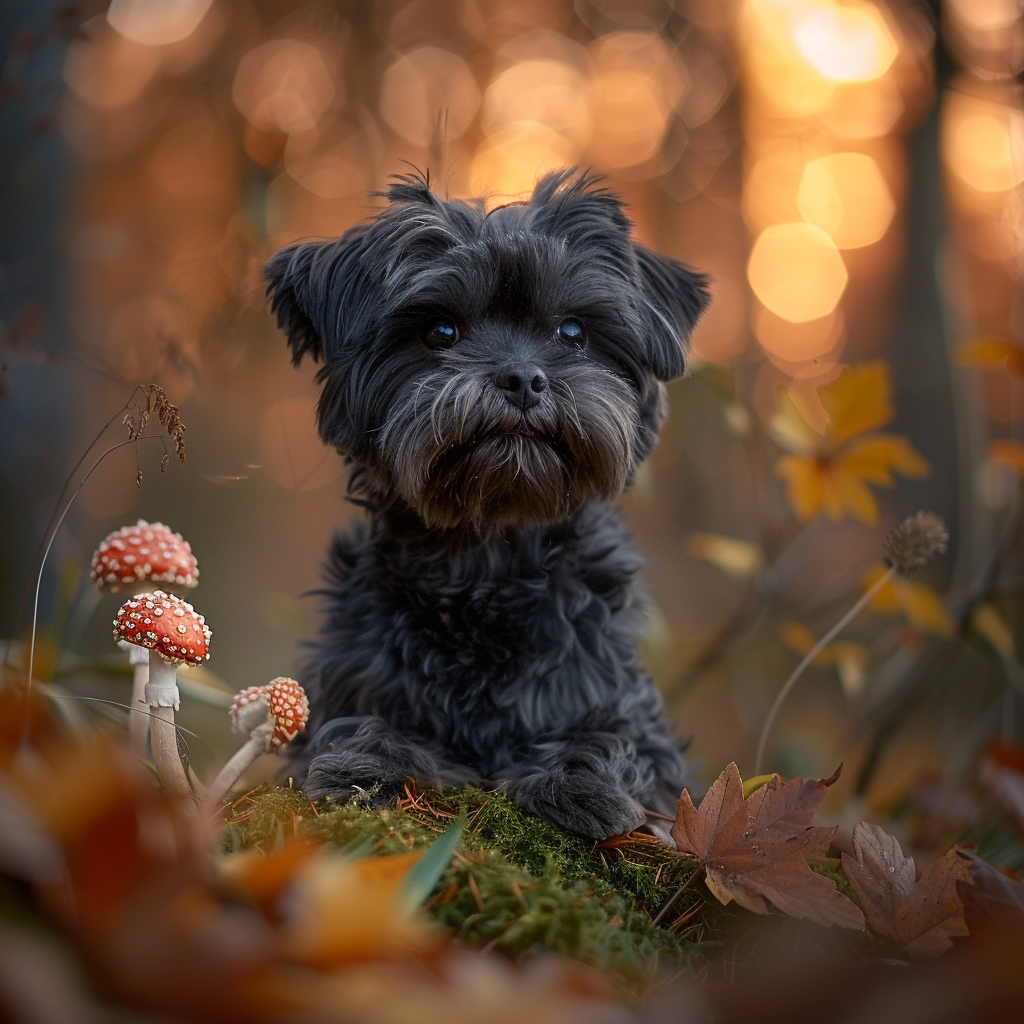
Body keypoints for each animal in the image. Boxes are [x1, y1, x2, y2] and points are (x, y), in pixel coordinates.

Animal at [268, 169, 708, 839]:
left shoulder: (635, 723)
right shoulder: (348, 681)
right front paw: (366, 763)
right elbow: (357, 723)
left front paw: (580, 780)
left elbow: (612, 737)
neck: (491, 554)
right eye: (440, 332)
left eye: (572, 332)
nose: (522, 378)